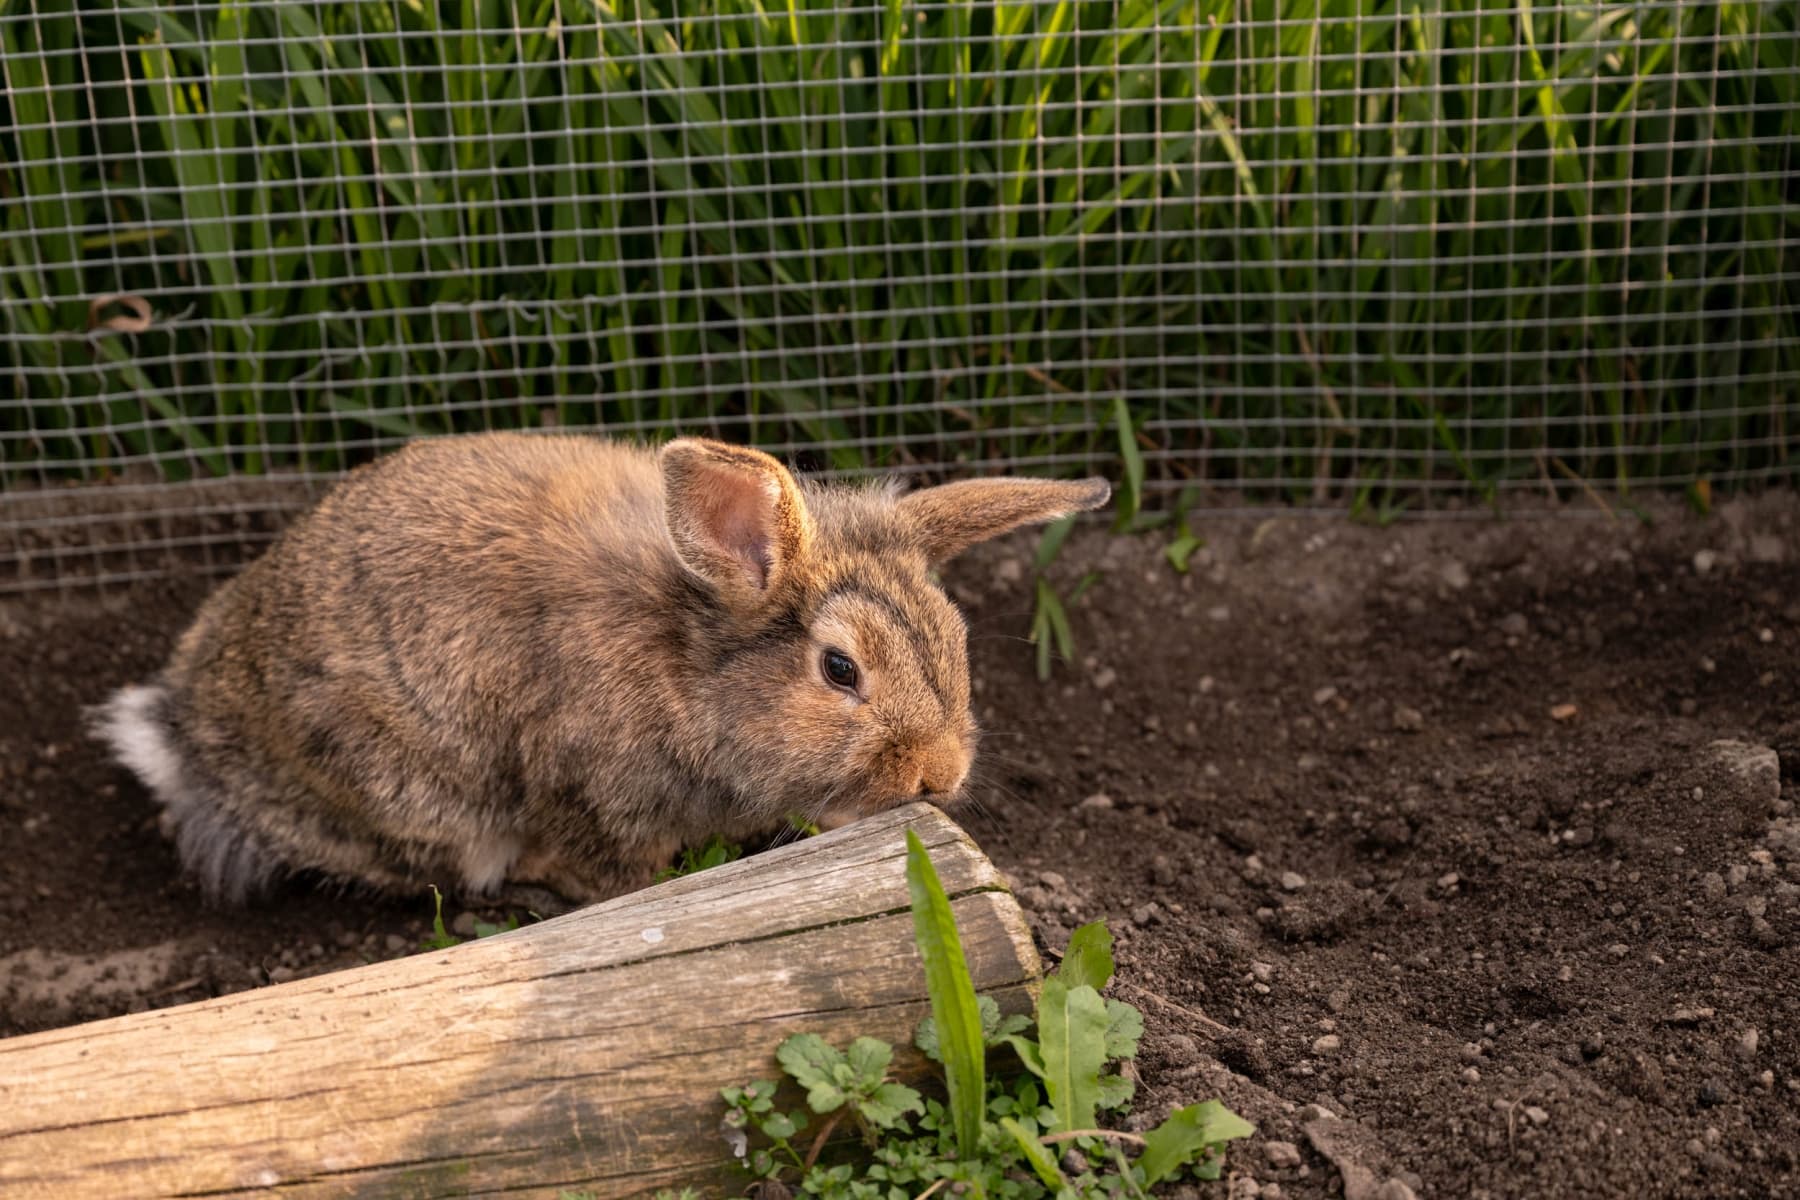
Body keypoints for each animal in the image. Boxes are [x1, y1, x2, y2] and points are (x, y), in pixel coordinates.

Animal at [94, 437, 1108, 913]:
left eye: (956, 638)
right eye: (838, 668)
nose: (940, 776)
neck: (686, 663)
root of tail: (188, 740)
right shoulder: (589, 798)